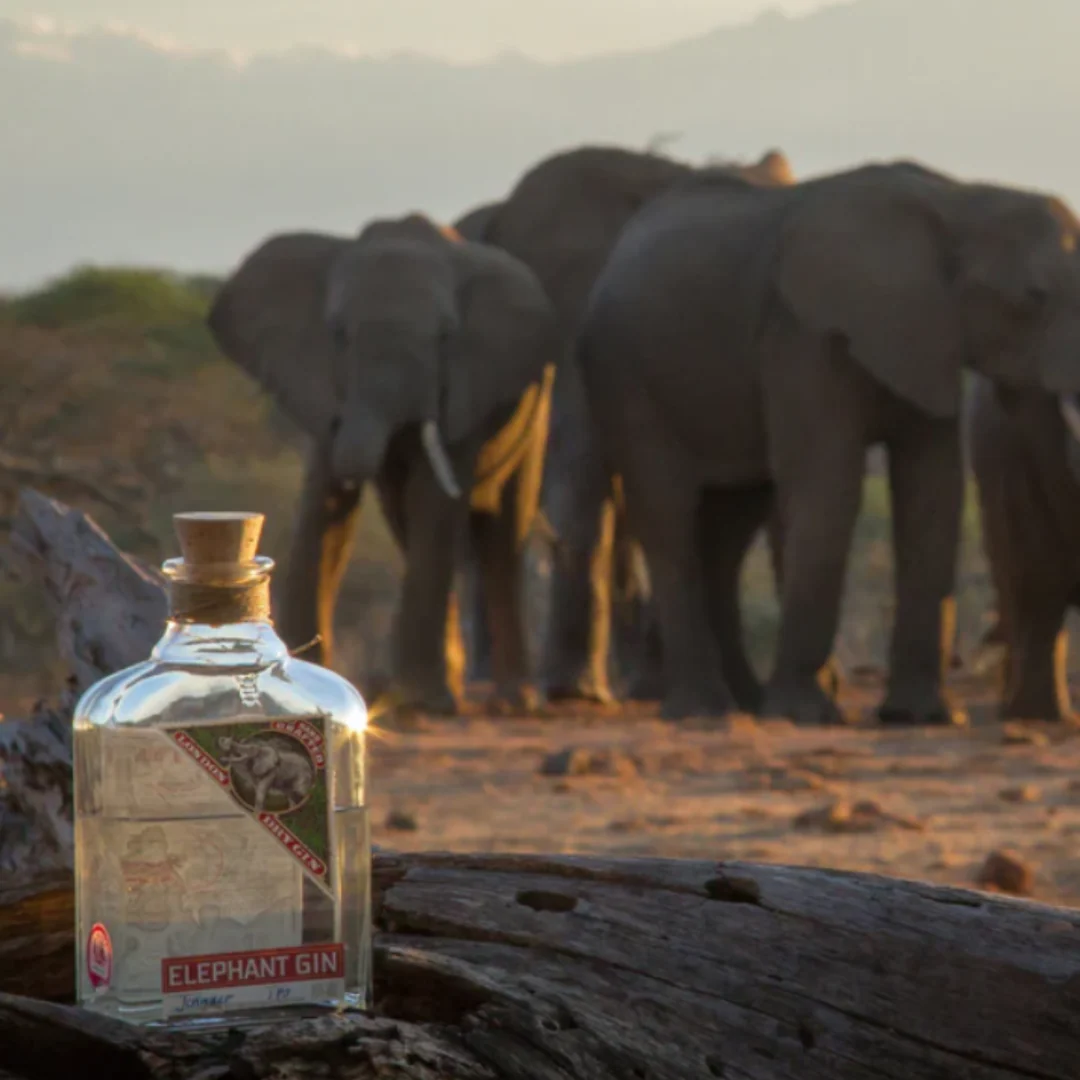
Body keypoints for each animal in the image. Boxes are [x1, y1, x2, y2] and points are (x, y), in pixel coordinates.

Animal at [207, 213, 558, 714]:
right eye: (338, 334)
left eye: (445, 337)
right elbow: (327, 505)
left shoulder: (467, 384)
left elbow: (433, 500)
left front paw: (423, 702)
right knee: (407, 523)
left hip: (537, 404)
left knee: (501, 533)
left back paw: (514, 702)